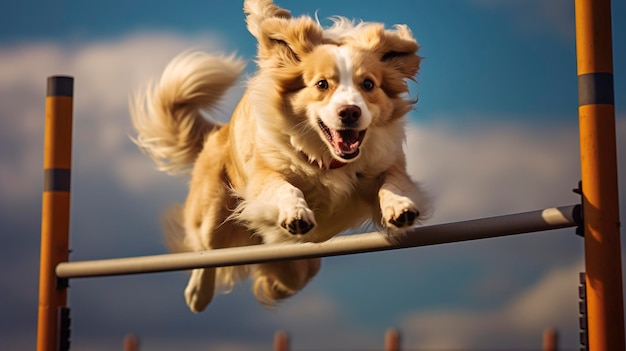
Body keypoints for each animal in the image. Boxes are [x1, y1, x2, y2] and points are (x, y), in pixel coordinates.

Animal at [129, 0, 426, 314]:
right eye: (322, 84)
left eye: (368, 84)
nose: (350, 112)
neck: (330, 160)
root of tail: (219, 131)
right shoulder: (264, 174)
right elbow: (284, 187)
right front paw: (295, 213)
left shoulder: (386, 163)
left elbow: (392, 183)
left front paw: (400, 207)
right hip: (213, 210)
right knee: (205, 249)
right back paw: (199, 294)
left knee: (293, 273)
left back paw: (272, 283)